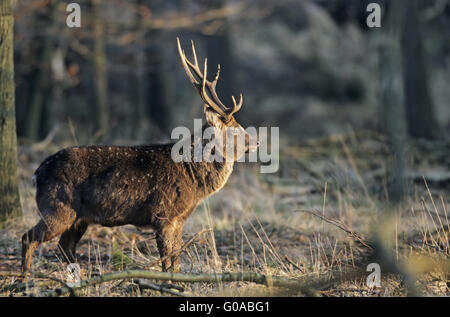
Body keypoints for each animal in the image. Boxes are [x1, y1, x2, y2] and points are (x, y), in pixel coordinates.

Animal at [22, 38, 260, 272]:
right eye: (235, 129)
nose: (257, 142)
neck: (194, 180)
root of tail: (36, 174)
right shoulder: (163, 214)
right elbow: (167, 262)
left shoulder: (180, 219)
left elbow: (176, 260)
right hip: (57, 208)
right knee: (29, 237)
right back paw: (25, 276)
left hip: (78, 218)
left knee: (65, 246)